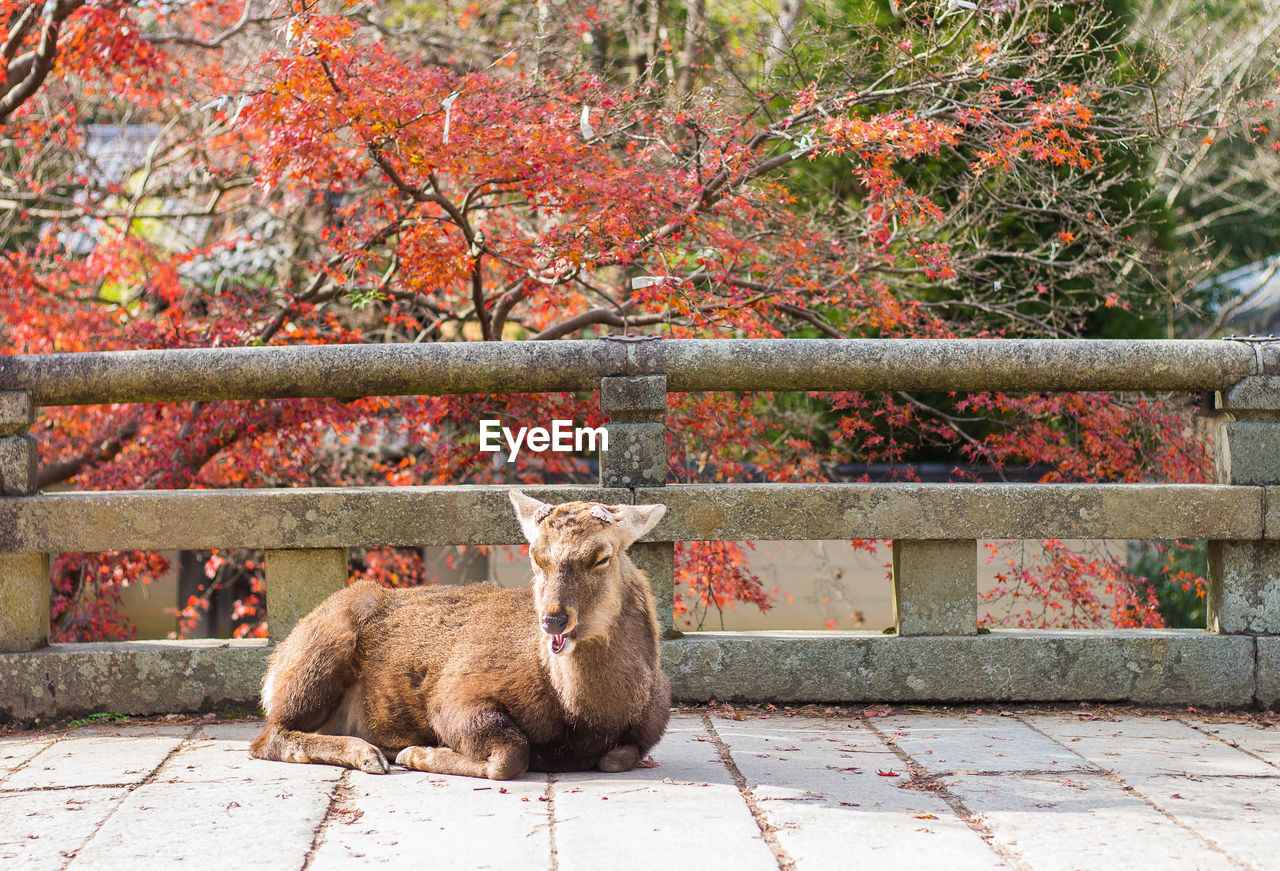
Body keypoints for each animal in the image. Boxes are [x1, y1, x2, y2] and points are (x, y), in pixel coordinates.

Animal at [245, 489, 675, 783]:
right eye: (535, 557)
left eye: (602, 557)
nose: (552, 619)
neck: (585, 716)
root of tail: (272, 669)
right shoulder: (455, 693)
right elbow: (510, 754)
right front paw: (415, 753)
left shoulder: (647, 732)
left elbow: (618, 757)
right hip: (317, 654)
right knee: (267, 738)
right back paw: (369, 753)